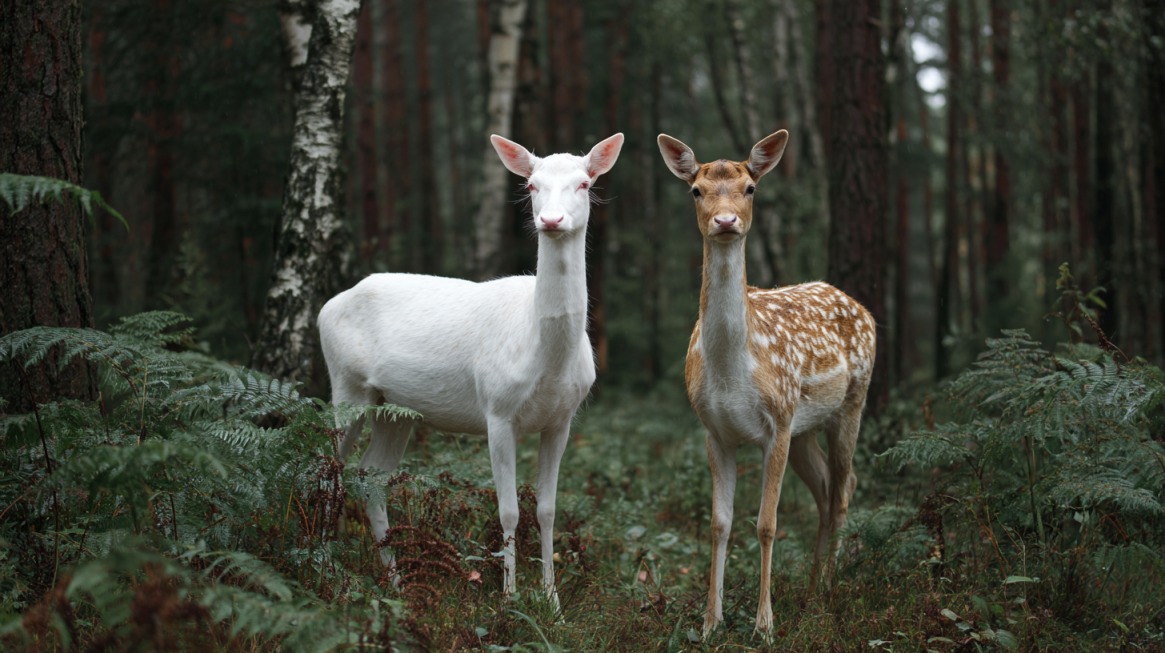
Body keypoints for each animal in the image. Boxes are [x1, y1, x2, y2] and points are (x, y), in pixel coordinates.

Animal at [318, 133, 624, 604]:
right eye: (531, 185)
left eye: (585, 183)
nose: (551, 220)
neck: (547, 358)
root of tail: (324, 309)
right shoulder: (497, 409)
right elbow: (509, 510)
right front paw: (509, 599)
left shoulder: (563, 418)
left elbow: (548, 508)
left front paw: (552, 602)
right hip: (345, 384)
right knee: (329, 466)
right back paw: (324, 568)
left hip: (395, 410)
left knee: (371, 475)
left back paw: (395, 582)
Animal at [656, 130, 875, 638]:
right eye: (695, 190)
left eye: (750, 188)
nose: (725, 220)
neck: (732, 368)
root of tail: (862, 307)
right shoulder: (715, 431)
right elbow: (719, 523)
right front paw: (710, 623)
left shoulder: (776, 423)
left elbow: (767, 523)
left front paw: (764, 625)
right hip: (803, 427)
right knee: (825, 490)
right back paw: (812, 589)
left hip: (850, 404)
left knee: (844, 488)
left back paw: (827, 592)